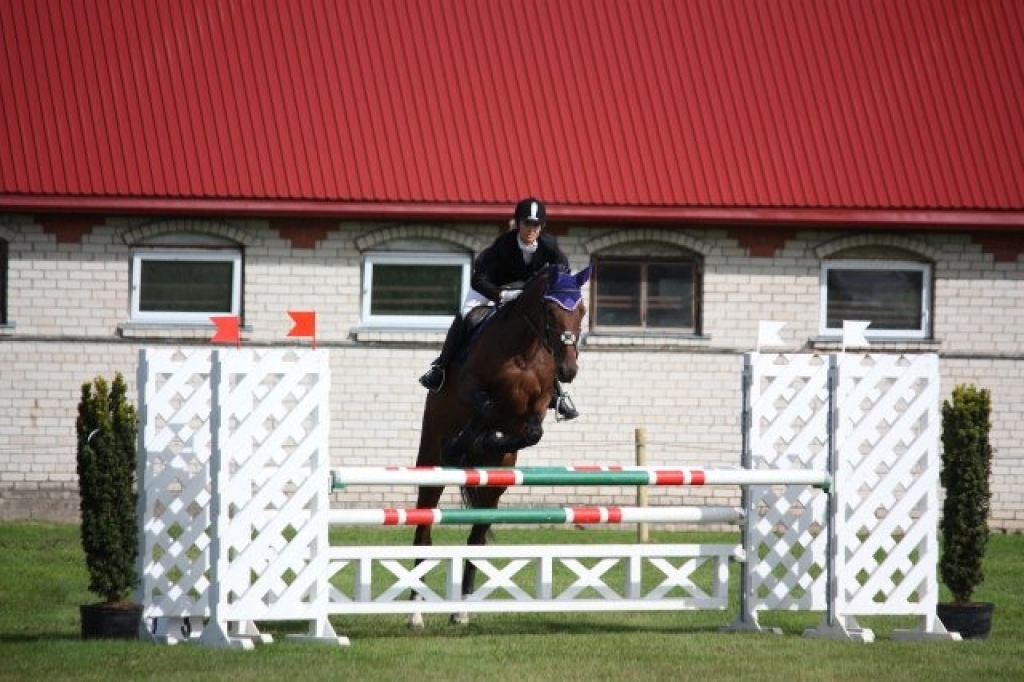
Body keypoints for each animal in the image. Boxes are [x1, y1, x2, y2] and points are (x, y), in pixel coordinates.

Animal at [403, 262, 589, 622]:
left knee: (476, 537)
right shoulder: (472, 387)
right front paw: (465, 442)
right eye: (550, 310)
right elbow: (486, 407)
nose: (569, 370)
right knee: (423, 531)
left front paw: (491, 439)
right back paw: (416, 613)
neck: (525, 350)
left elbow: (532, 432)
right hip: (430, 461)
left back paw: (461, 611)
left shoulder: (537, 406)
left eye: (582, 311)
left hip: (494, 486)